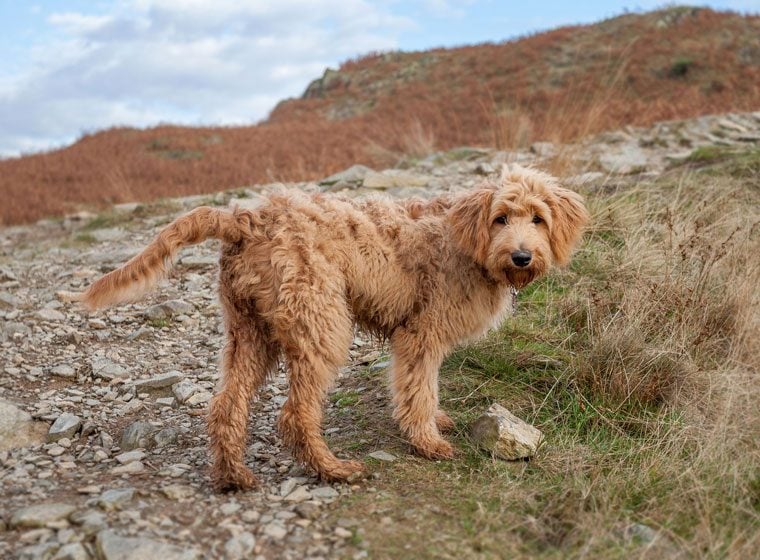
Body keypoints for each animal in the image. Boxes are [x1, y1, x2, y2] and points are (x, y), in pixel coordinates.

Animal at [77, 165, 588, 490]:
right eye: (501, 217)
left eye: (538, 218)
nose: (521, 256)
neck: (465, 241)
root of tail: (246, 218)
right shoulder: (420, 335)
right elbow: (419, 389)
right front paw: (427, 440)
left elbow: (424, 387)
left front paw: (436, 420)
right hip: (320, 323)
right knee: (295, 414)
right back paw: (332, 469)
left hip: (248, 331)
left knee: (226, 405)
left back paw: (233, 477)